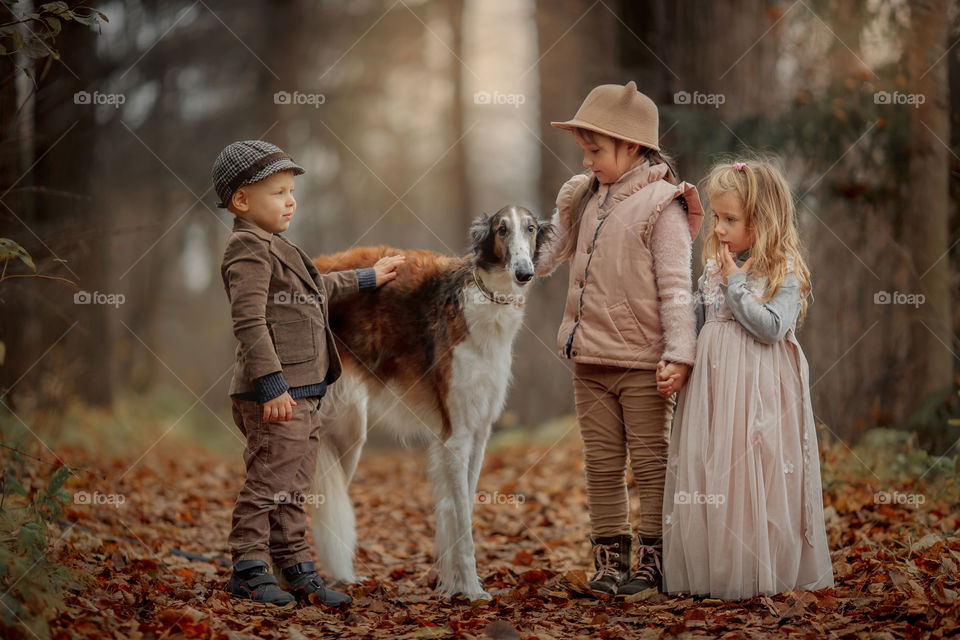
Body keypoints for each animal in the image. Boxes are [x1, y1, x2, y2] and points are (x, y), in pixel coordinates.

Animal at [304, 204, 552, 600]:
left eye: (530, 229)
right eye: (501, 229)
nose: (524, 273)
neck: (485, 301)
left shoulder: (478, 433)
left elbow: (459, 510)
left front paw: (455, 585)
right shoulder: (456, 436)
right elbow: (463, 522)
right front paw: (472, 591)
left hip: (348, 435)